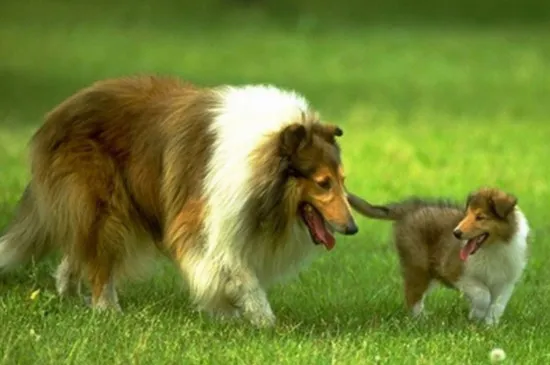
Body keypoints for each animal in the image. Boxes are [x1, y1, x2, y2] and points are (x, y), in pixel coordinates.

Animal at [0, 75, 360, 326]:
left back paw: (72, 299)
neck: (259, 165)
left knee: (78, 253)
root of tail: (54, 116)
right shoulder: (202, 221)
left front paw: (234, 314)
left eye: (342, 181)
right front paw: (262, 320)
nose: (353, 228)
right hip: (104, 205)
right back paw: (108, 310)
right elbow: (237, 271)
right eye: (323, 183)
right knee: (99, 260)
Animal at [350, 188, 532, 324]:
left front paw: (488, 326)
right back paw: (420, 321)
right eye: (467, 214)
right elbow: (483, 294)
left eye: (480, 217)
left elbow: (496, 306)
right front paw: (476, 315)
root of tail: (410, 208)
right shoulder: (454, 271)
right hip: (418, 266)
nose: (456, 233)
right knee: (412, 295)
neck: (493, 247)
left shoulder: (505, 282)